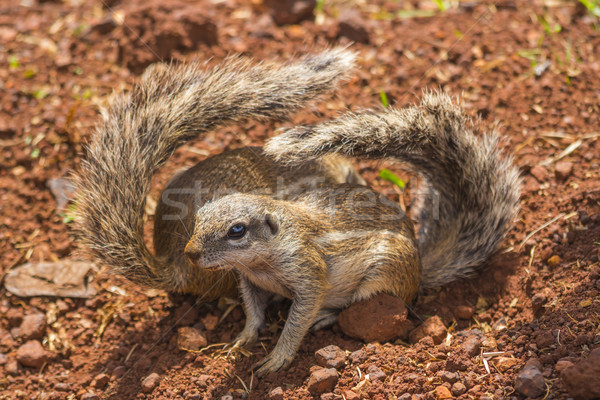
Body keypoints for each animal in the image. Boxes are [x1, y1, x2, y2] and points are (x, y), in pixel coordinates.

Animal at [75, 48, 520, 376]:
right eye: (200, 220)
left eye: (237, 231)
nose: (193, 252)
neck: (262, 261)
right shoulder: (246, 281)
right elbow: (253, 312)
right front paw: (244, 339)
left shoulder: (308, 273)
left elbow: (299, 315)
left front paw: (278, 357)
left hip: (381, 276)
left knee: (367, 303)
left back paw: (329, 318)